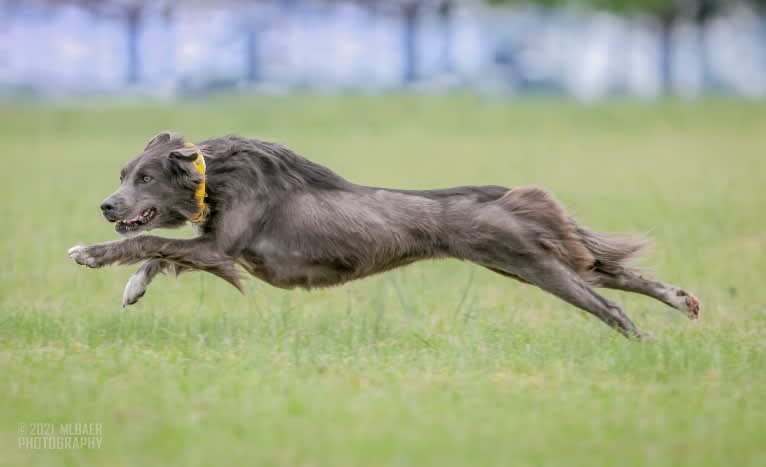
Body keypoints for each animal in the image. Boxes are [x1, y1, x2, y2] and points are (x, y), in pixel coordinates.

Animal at [70, 132, 704, 340]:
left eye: (144, 178)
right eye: (122, 174)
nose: (106, 205)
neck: (217, 176)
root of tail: (498, 195)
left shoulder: (223, 249)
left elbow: (150, 243)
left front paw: (92, 254)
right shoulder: (215, 249)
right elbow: (159, 253)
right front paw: (133, 287)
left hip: (532, 262)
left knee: (608, 304)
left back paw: (646, 341)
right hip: (532, 258)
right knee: (619, 274)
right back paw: (682, 302)